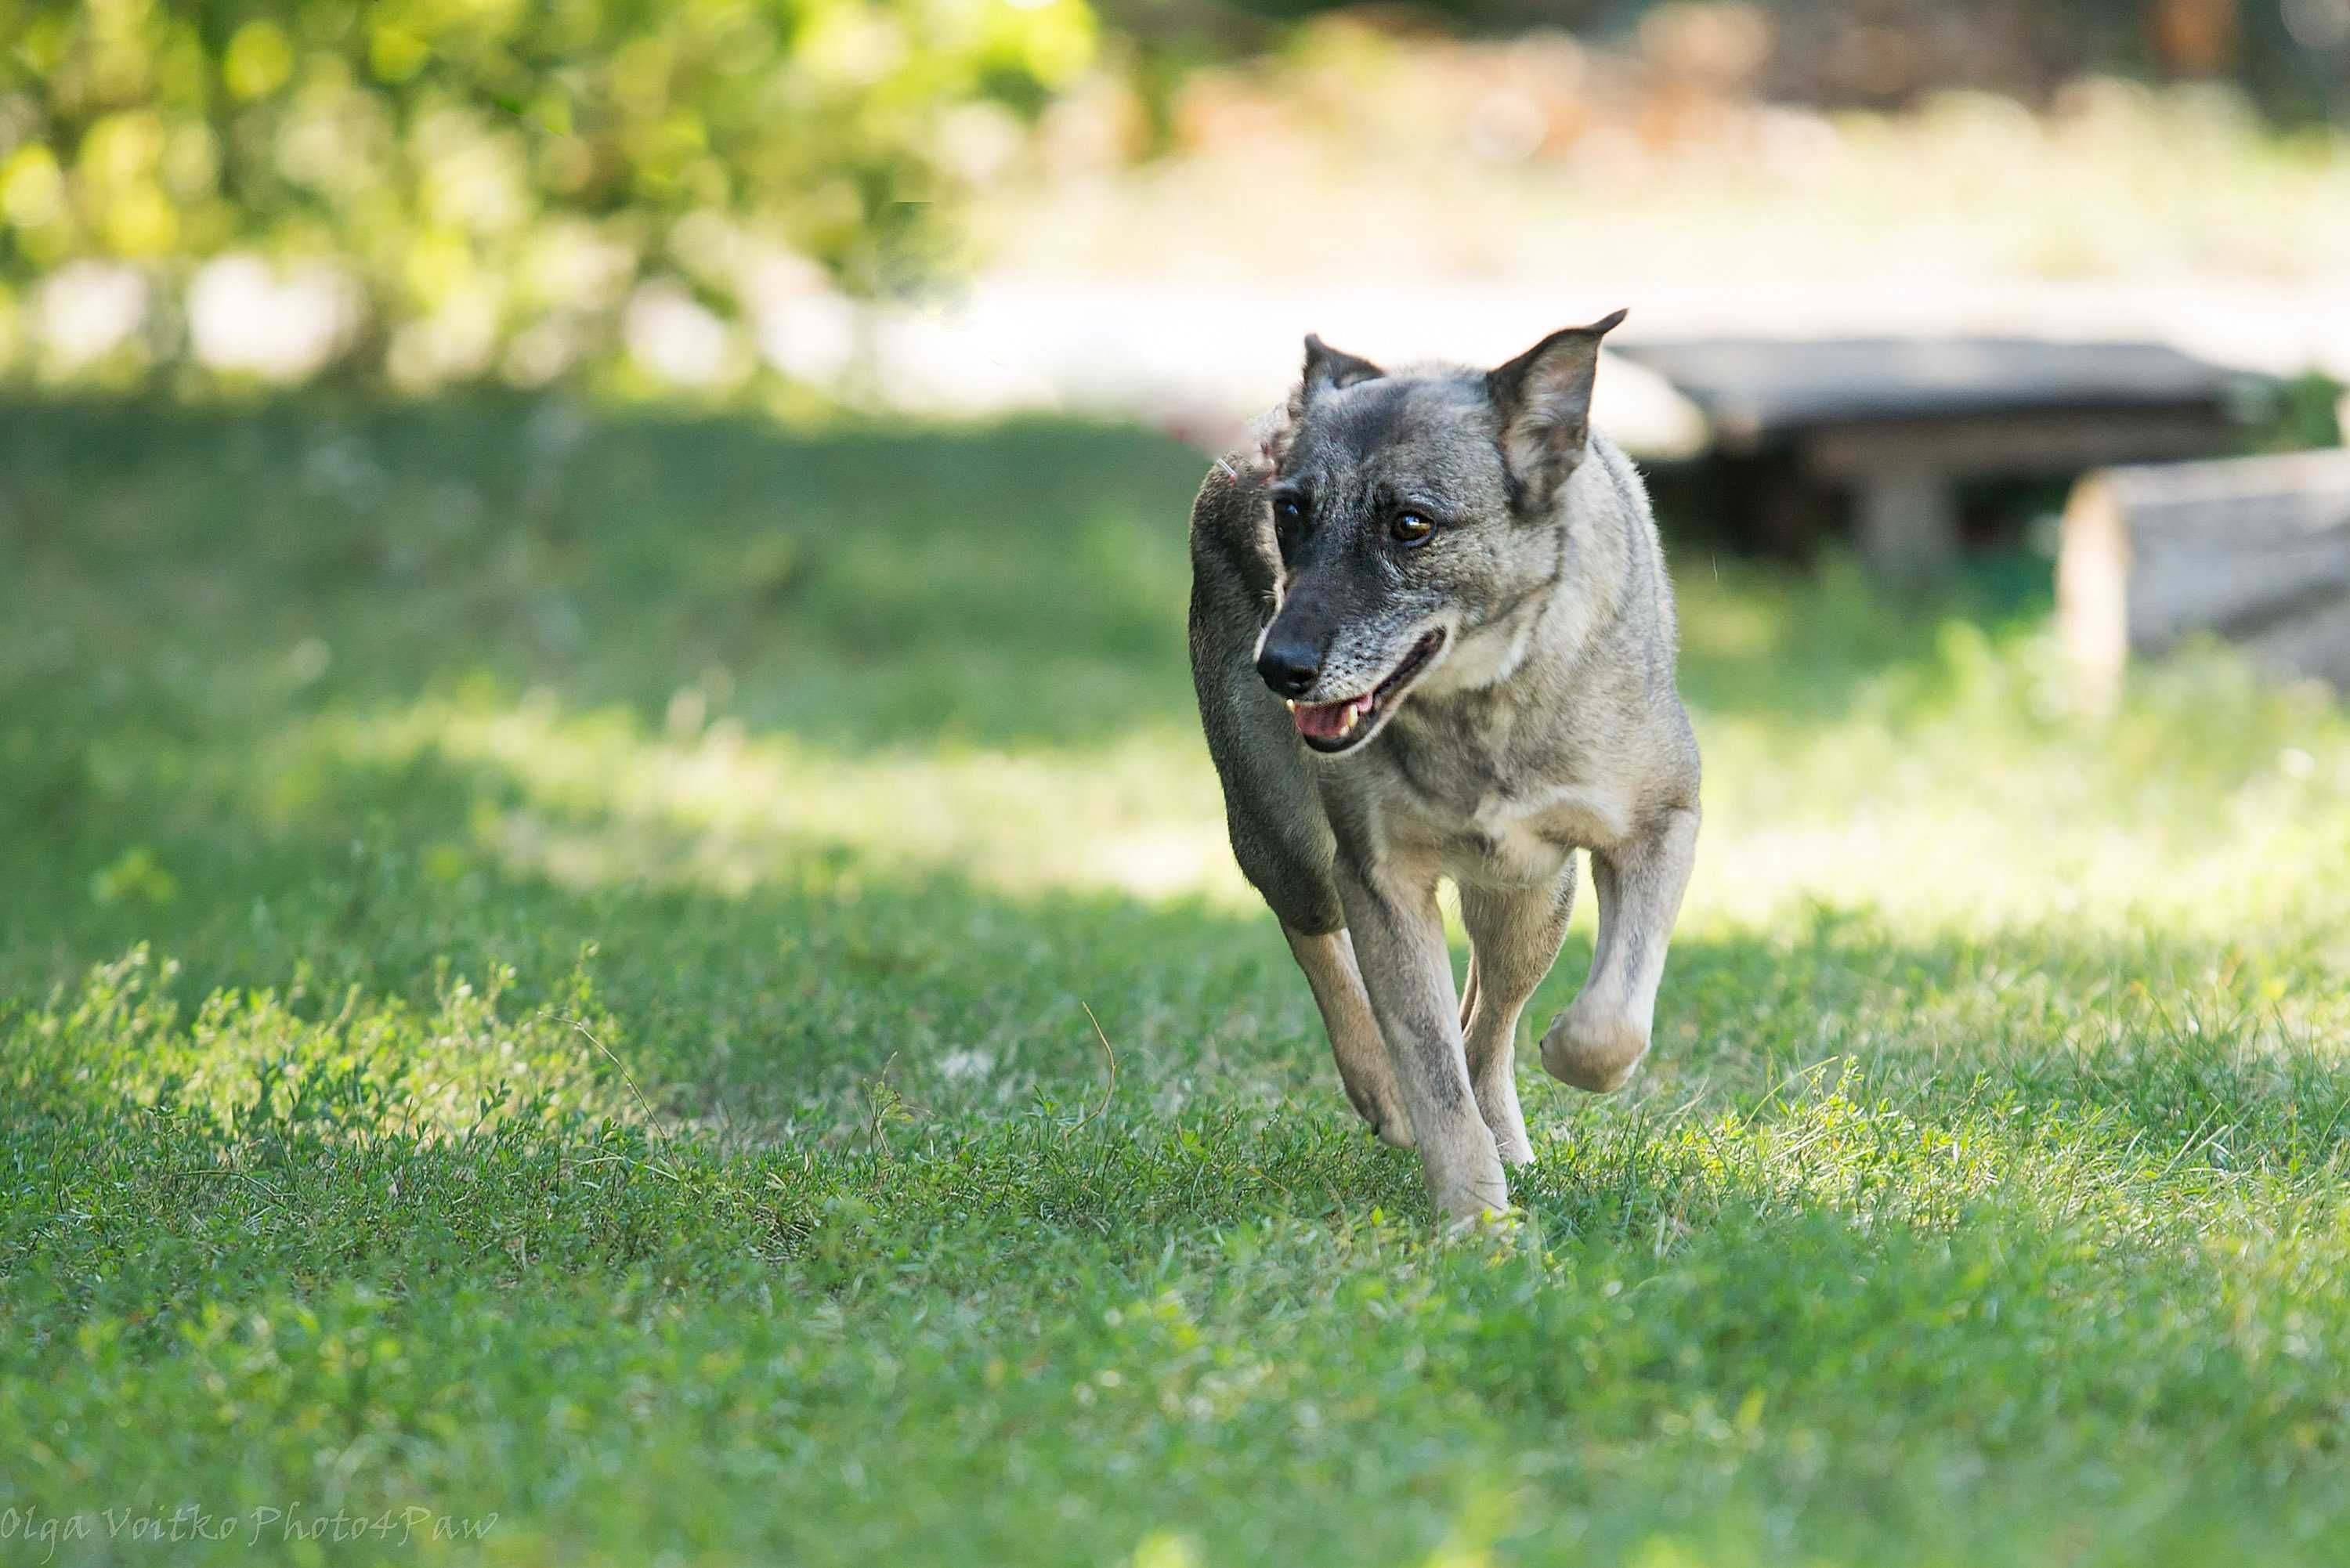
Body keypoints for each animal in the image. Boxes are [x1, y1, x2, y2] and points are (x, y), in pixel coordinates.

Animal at [1184, 313, 1701, 1222]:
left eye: (1412, 525)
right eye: (1291, 513)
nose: (1279, 667)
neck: (1478, 707)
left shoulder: (1661, 820)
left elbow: (1610, 1022)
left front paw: (1563, 1059)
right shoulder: (1379, 878)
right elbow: (1430, 1068)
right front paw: (1478, 1221)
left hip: (1532, 895)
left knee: (1489, 1022)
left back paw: (1511, 1134)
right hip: (1281, 831)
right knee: (1320, 938)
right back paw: (1383, 1091)